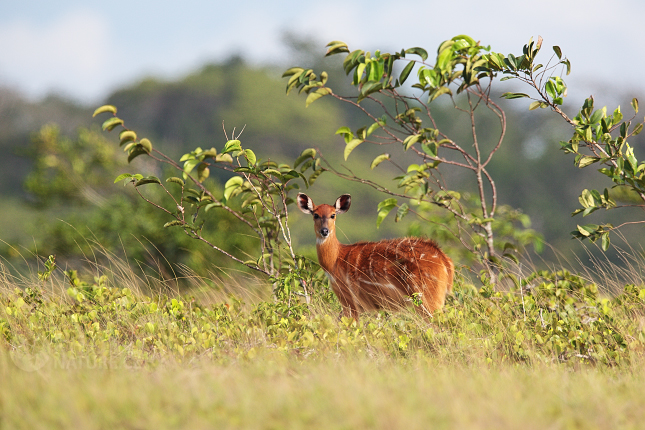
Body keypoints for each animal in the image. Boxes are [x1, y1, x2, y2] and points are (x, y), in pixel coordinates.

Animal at [296, 192, 452, 320]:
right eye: (315, 215)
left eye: (333, 215)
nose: (324, 231)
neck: (336, 259)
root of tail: (445, 260)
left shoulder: (349, 300)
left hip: (427, 298)